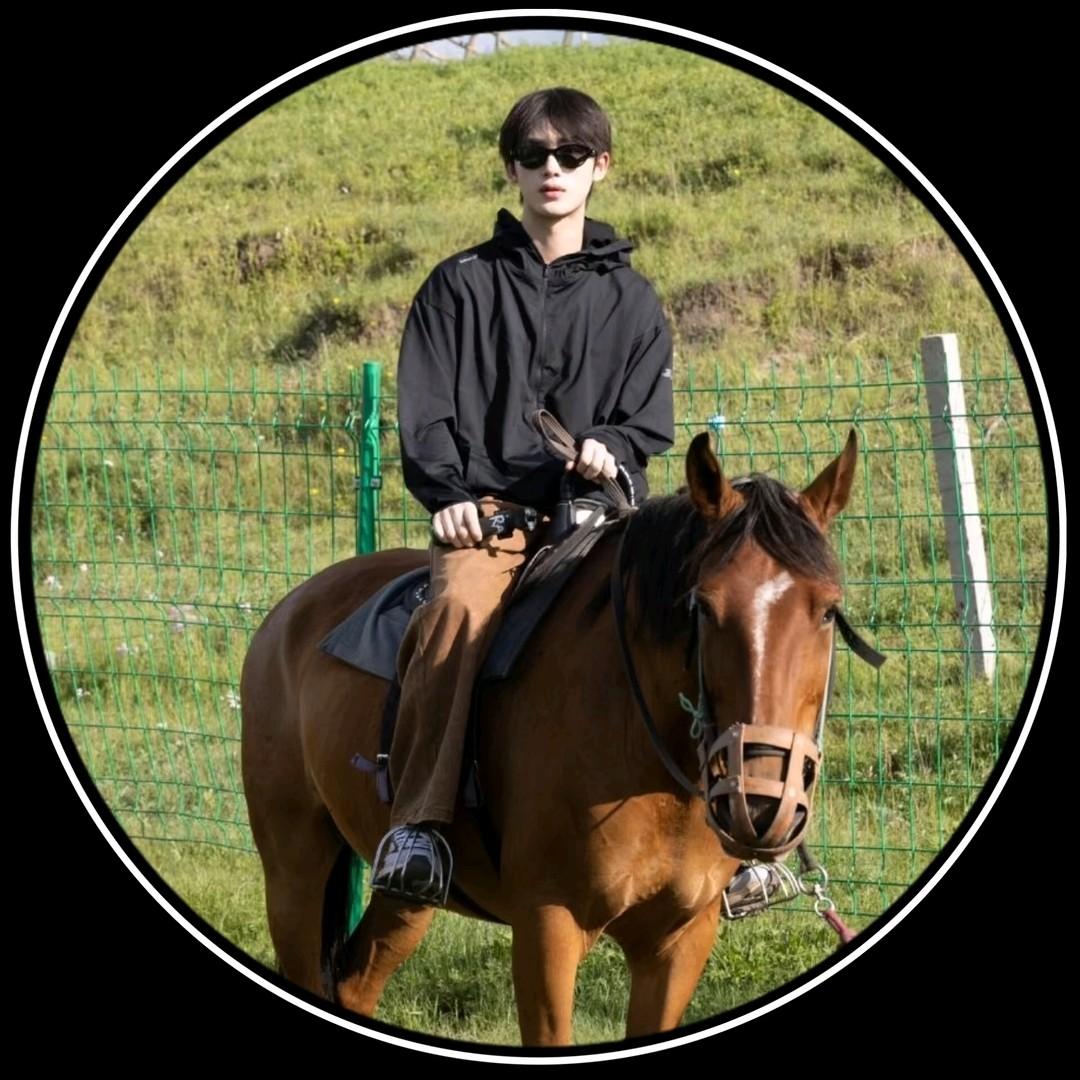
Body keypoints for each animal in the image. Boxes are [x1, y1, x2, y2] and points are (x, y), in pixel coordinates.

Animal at [240, 429, 859, 1045]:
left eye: (829, 611)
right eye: (702, 607)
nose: (760, 805)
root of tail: (289, 611)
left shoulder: (680, 940)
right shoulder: (547, 927)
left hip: (408, 898)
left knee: (355, 982)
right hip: (294, 868)